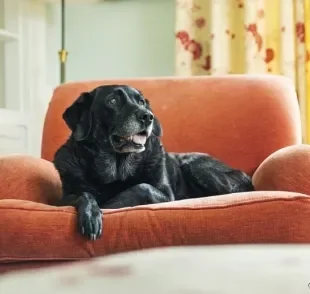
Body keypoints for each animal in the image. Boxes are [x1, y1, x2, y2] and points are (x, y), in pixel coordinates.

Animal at [52, 84, 252, 240]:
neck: (117, 168)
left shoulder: (166, 195)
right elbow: (83, 194)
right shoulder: (61, 200)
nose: (148, 116)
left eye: (141, 102)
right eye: (112, 101)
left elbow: (141, 187)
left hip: (195, 166)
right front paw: (91, 213)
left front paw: (108, 205)